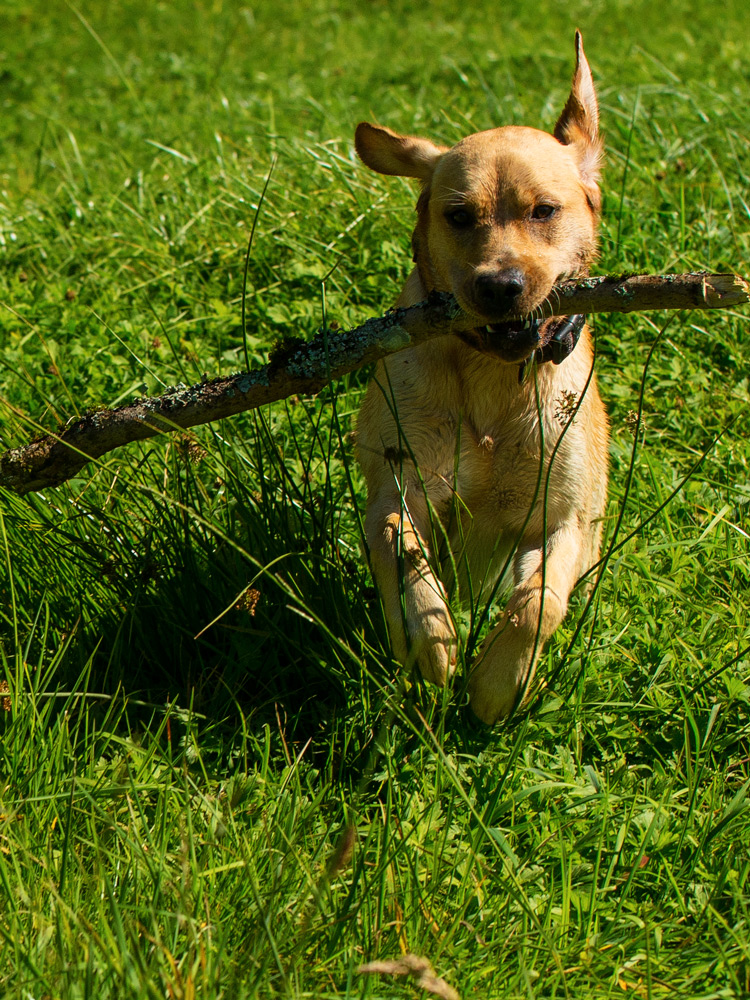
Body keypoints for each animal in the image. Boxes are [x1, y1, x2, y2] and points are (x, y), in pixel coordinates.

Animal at [356, 31, 608, 720]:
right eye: (459, 216)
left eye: (544, 211)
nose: (499, 287)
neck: (496, 376)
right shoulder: (398, 487)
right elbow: (400, 541)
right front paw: (432, 644)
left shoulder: (564, 519)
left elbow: (538, 602)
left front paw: (498, 682)